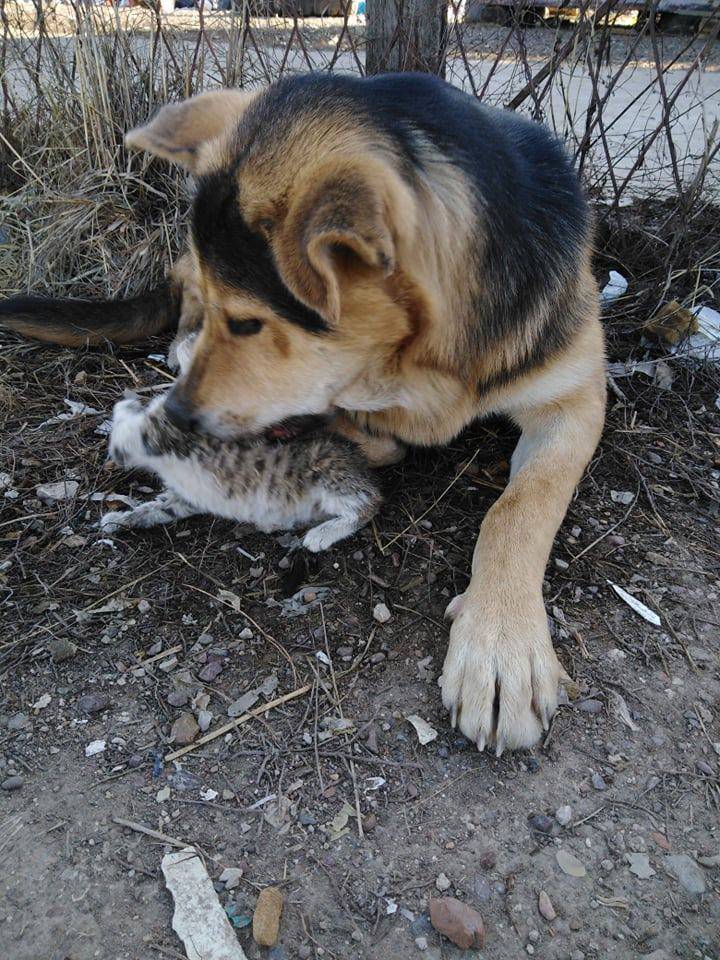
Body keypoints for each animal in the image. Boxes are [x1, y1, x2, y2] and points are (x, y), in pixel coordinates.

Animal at [1, 71, 608, 752]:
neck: (434, 364)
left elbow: (518, 509)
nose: (177, 417)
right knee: (180, 306)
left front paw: (500, 647)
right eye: (230, 318)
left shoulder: (577, 398)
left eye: (248, 323)